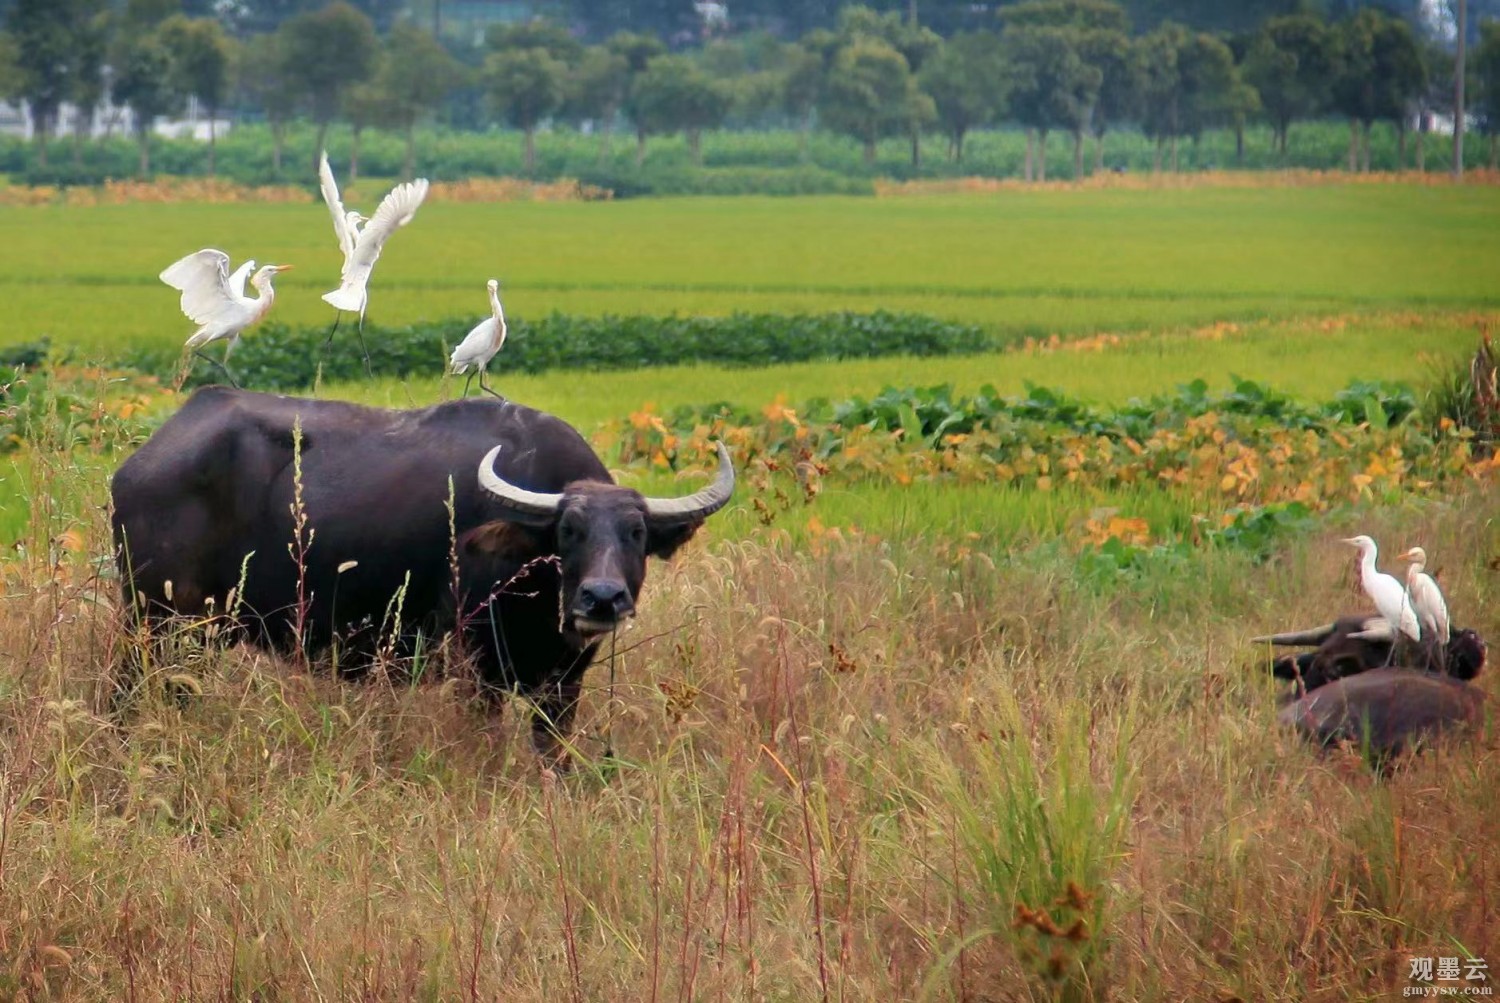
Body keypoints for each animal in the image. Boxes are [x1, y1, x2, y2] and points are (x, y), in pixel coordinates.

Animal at [108, 386, 735, 761]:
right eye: (568, 532)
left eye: (636, 534)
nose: (601, 598)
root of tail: (139, 465)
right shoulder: (475, 669)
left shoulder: (563, 683)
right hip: (154, 623)